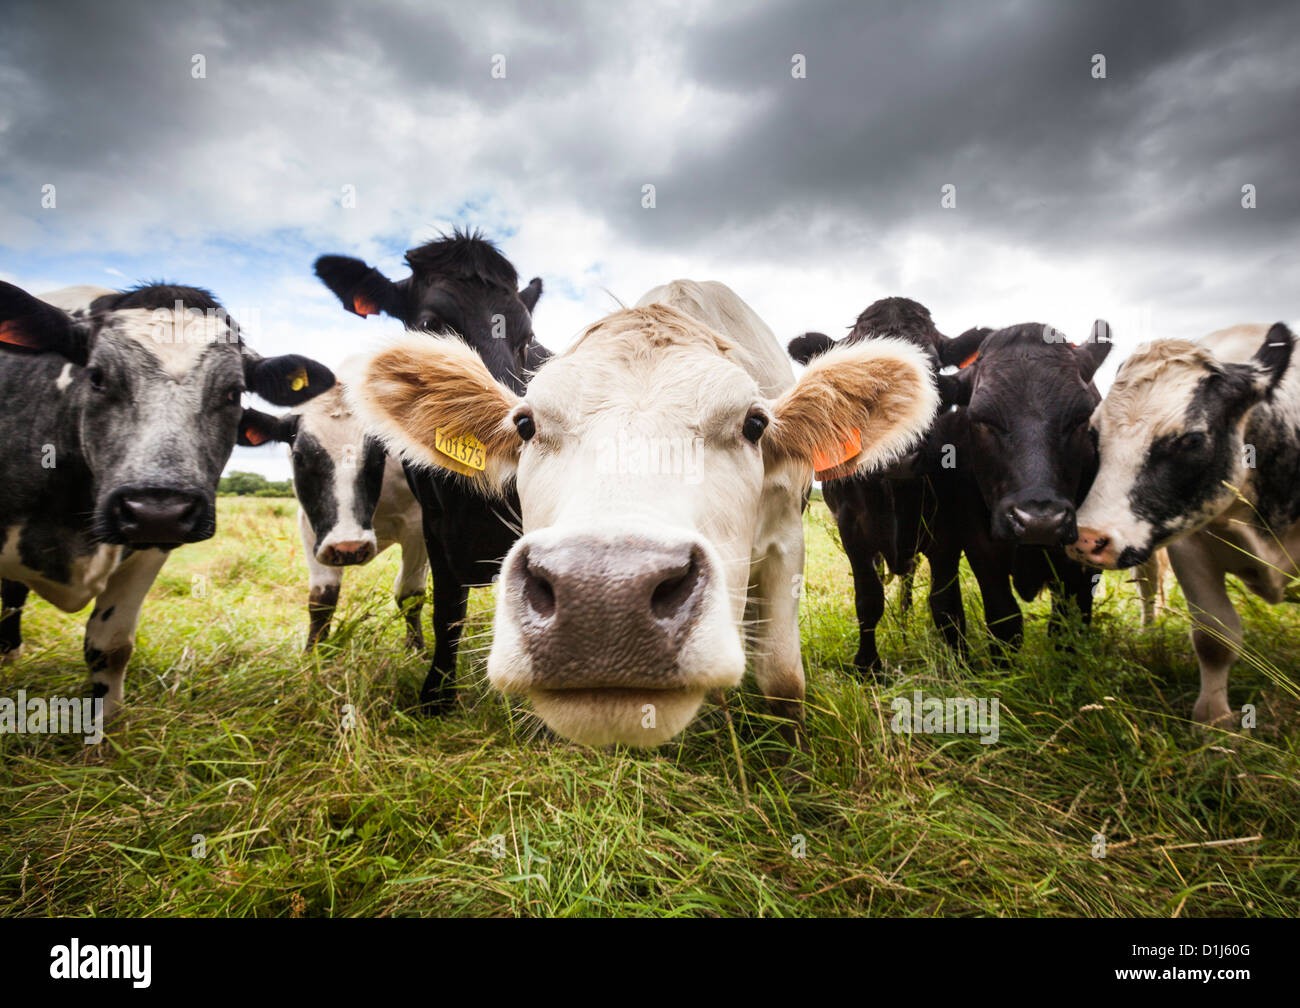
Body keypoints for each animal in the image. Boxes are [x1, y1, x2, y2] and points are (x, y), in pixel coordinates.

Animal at [242, 384, 429, 649]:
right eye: (298, 456)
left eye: (379, 456)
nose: (349, 547)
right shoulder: (312, 527)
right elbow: (322, 600)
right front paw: (314, 653)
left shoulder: (417, 525)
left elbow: (410, 596)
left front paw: (415, 650)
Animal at [787, 297, 987, 674]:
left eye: (934, 368)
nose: (900, 453)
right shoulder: (851, 526)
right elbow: (869, 597)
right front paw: (867, 664)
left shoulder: (947, 527)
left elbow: (945, 604)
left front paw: (961, 664)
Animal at [1069, 322, 1297, 727]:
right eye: (1094, 433)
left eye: (1191, 439)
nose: (1087, 539)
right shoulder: (1189, 547)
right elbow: (1214, 638)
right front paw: (1214, 721)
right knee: (1148, 587)